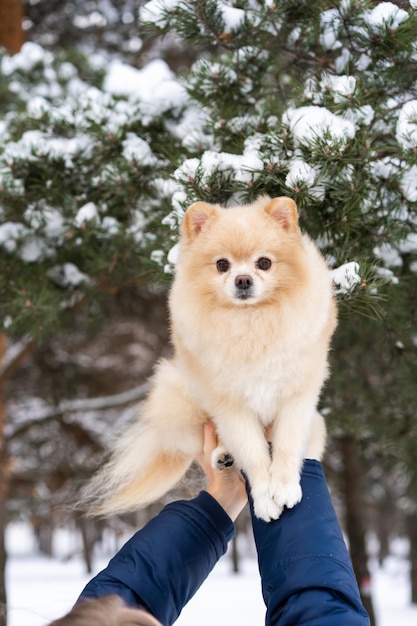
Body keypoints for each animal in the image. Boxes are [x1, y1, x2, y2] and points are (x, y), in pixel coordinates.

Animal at [86, 196, 336, 520]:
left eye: (264, 263)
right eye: (222, 265)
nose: (243, 280)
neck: (251, 321)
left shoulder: (296, 397)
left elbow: (286, 446)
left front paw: (283, 487)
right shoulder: (230, 405)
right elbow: (253, 454)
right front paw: (264, 498)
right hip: (179, 398)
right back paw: (223, 454)